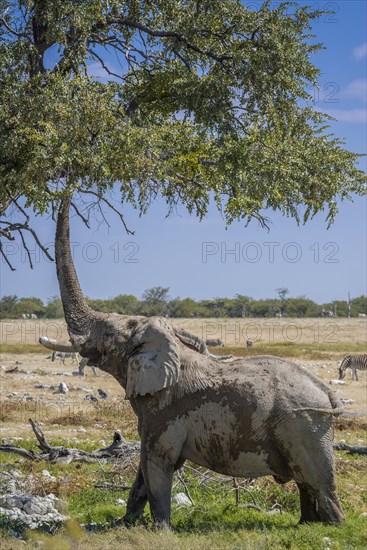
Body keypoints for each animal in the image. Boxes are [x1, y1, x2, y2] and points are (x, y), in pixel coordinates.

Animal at [39, 199, 344, 532]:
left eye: (107, 334)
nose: (68, 190)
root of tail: (326, 392)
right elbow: (143, 473)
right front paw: (124, 524)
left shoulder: (166, 413)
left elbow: (157, 463)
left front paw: (161, 531)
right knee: (307, 485)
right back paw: (306, 525)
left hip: (304, 427)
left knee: (318, 483)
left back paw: (331, 527)